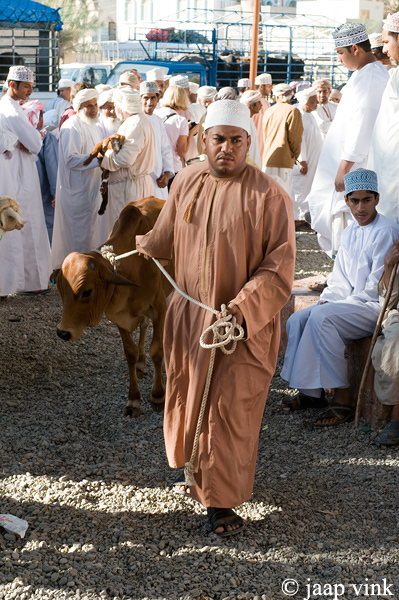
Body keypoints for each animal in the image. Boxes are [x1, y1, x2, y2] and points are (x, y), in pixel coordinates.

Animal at [52, 197, 173, 418]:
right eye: (61, 291)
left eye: (87, 292)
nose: (63, 332)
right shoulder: (119, 316)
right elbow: (130, 353)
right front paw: (133, 400)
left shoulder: (159, 307)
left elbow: (157, 350)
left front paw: (158, 395)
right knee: (143, 326)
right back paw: (141, 364)